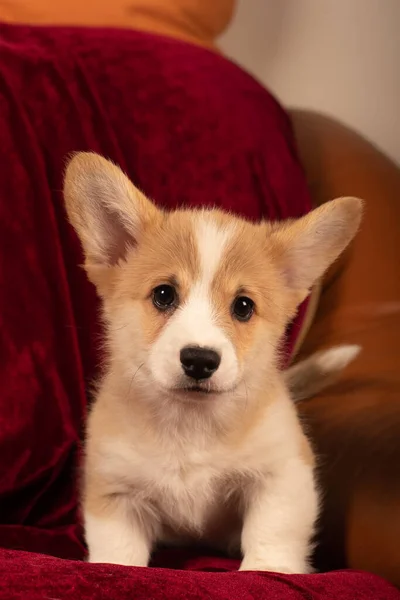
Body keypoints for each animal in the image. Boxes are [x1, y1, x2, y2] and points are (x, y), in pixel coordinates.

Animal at [63, 152, 362, 576]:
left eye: (243, 306)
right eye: (164, 294)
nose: (200, 360)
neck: (191, 425)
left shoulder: (282, 475)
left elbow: (272, 539)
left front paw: (268, 572)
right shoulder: (115, 491)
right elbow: (118, 554)